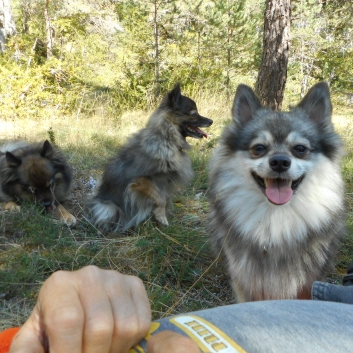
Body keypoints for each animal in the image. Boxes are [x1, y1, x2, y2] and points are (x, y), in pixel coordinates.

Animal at [87, 81, 212, 232]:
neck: (166, 139)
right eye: (194, 114)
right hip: (108, 208)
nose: (211, 121)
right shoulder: (141, 181)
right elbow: (160, 199)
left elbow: (164, 199)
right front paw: (161, 218)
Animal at [209, 82, 344, 300]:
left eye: (300, 148)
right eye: (259, 148)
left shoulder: (307, 284)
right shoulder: (245, 284)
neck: (276, 217)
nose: (280, 162)